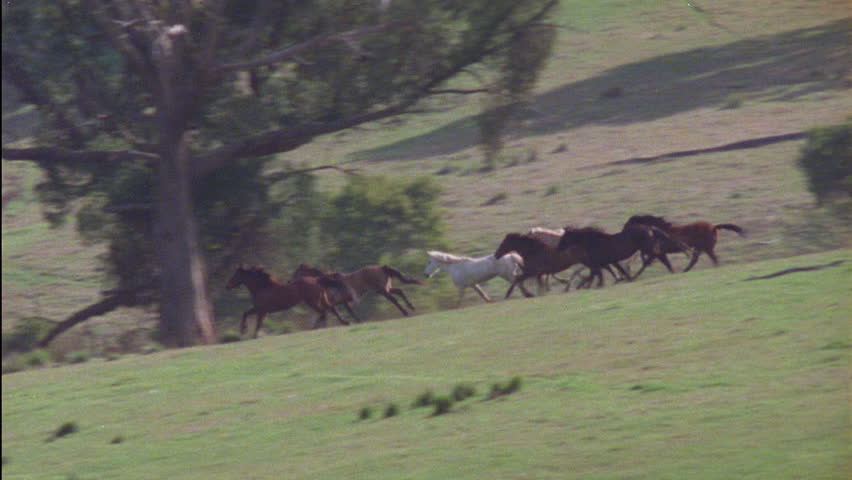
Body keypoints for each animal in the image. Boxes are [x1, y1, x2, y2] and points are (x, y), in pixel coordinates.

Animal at [292, 264, 422, 316]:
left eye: (297, 273)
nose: (290, 281)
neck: (329, 282)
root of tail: (382, 267)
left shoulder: (341, 301)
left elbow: (348, 312)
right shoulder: (343, 302)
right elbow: (349, 312)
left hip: (382, 290)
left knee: (394, 299)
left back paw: (406, 312)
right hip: (386, 288)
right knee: (399, 291)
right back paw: (411, 307)